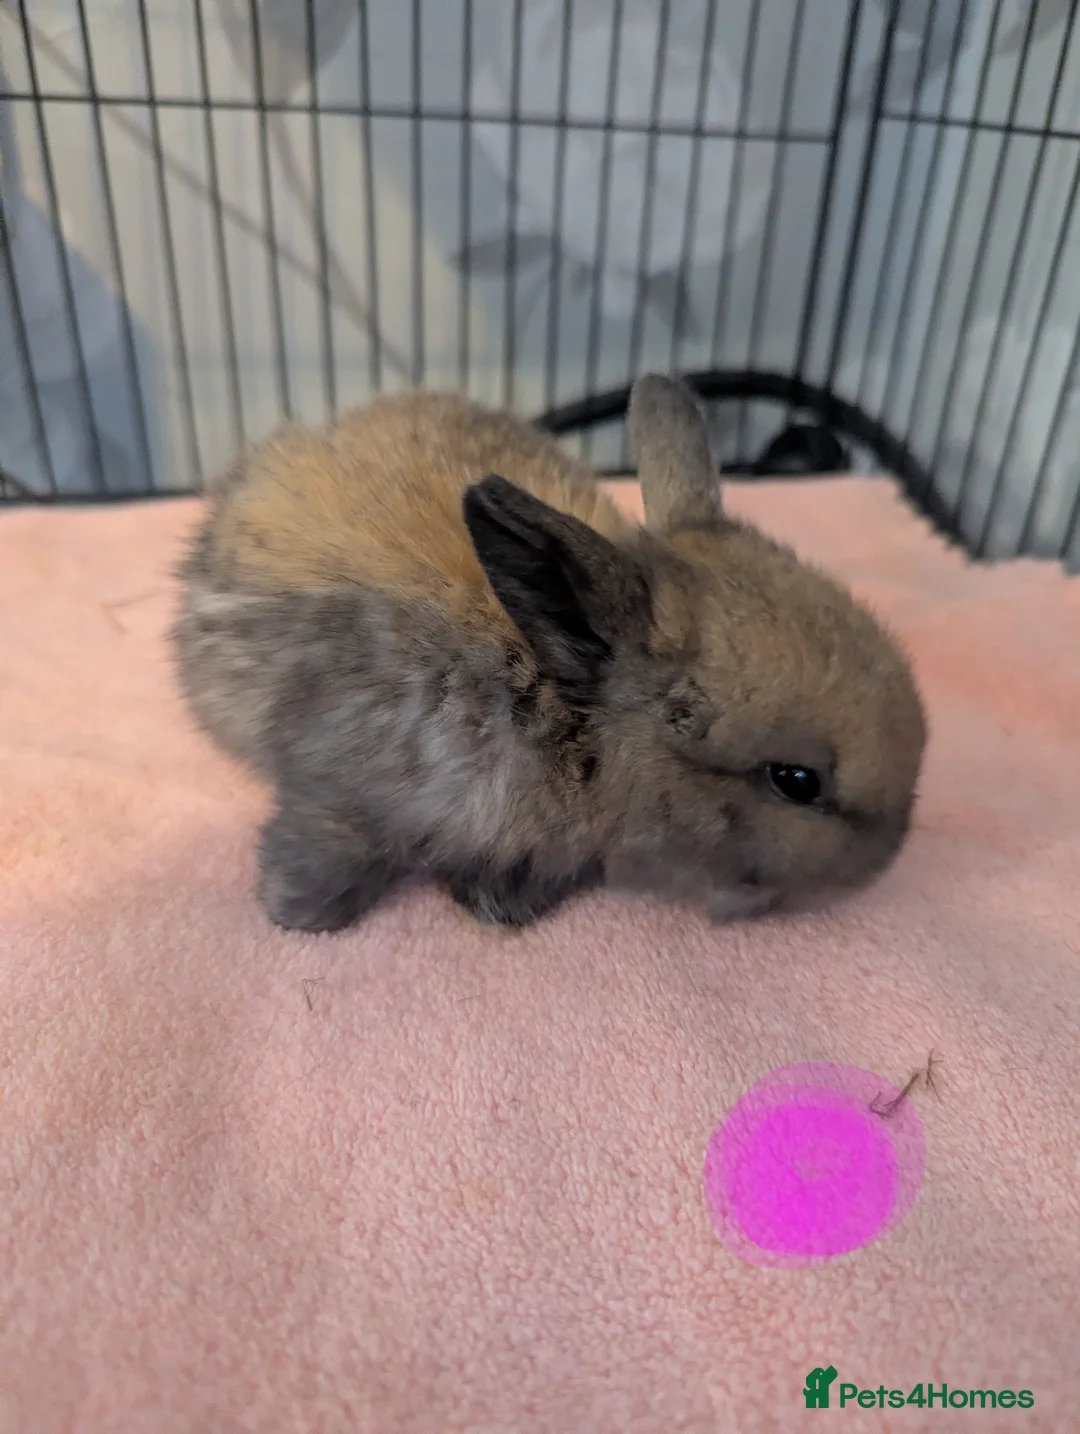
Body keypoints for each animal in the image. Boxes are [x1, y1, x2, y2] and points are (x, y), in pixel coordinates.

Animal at [170, 374, 927, 934]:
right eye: (795, 781)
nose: (889, 859)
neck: (562, 708)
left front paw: (500, 903)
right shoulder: (342, 781)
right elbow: (332, 839)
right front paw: (296, 907)